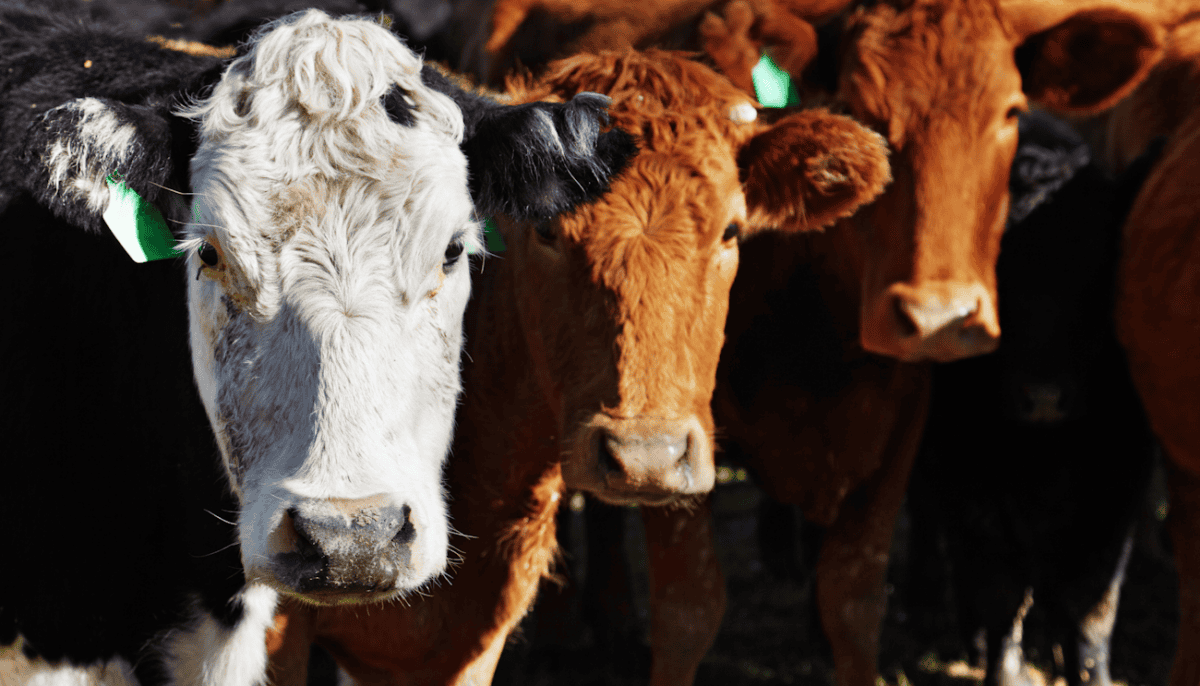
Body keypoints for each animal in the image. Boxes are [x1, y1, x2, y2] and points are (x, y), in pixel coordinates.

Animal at [906, 110, 1160, 686]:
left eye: (1097, 274)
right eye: (999, 275)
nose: (1043, 396)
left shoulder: (1118, 483)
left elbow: (1091, 603)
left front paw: (1090, 672)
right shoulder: (967, 478)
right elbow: (1001, 590)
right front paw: (1004, 668)